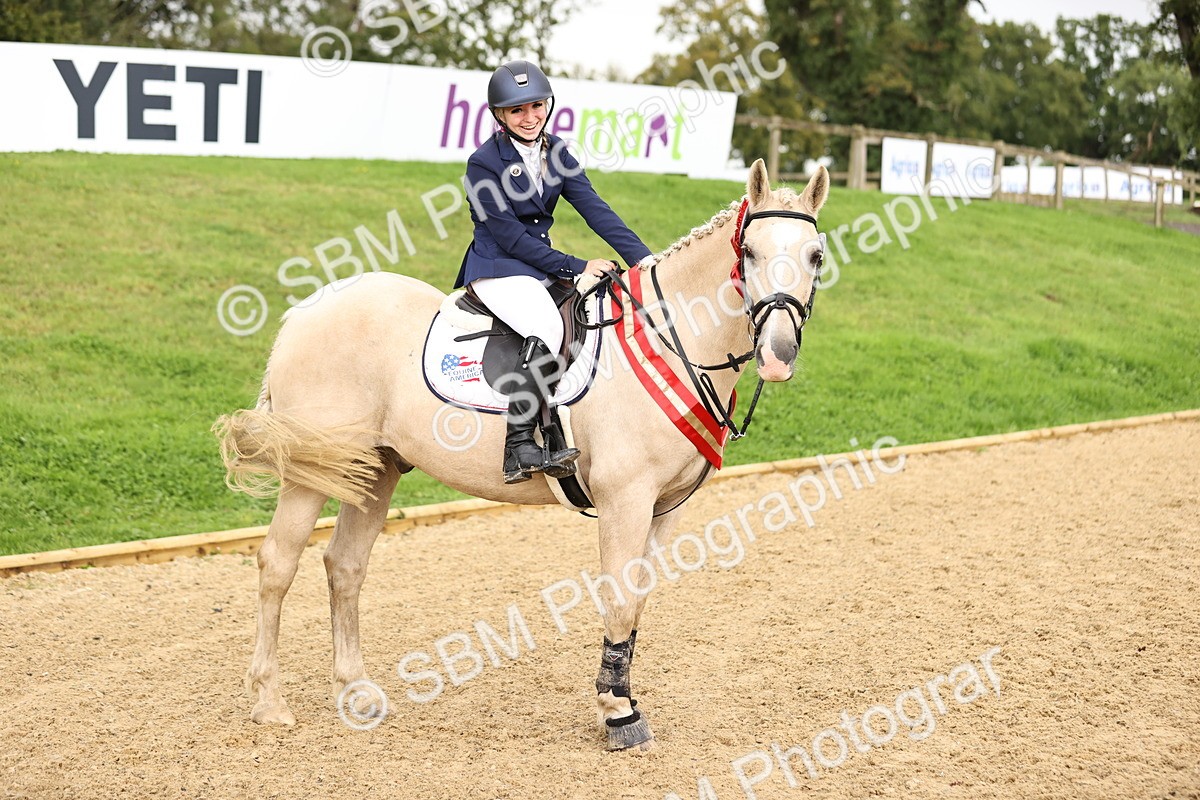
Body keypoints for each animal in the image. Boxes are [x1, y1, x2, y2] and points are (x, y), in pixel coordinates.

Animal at [214, 158, 829, 750]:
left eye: (816, 255)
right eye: (749, 252)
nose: (777, 355)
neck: (669, 337)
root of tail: (303, 314)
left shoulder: (665, 507)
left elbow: (637, 603)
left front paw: (621, 699)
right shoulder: (625, 499)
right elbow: (618, 598)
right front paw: (617, 714)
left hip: (374, 469)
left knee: (345, 565)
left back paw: (356, 692)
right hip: (311, 471)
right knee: (278, 563)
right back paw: (269, 702)